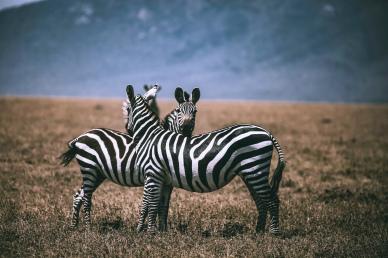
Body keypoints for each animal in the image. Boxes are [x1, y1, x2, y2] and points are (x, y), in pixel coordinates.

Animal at [60, 85, 200, 229]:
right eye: (179, 111)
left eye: (195, 112)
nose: (187, 128)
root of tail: (80, 137)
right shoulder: (151, 177)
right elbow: (149, 204)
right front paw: (145, 227)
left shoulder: (167, 182)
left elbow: (163, 205)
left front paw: (160, 228)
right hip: (89, 168)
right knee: (86, 197)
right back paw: (88, 228)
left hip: (98, 173)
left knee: (79, 195)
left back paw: (74, 226)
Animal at [124, 85, 284, 235]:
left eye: (127, 109)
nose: (127, 130)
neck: (149, 136)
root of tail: (266, 132)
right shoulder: (163, 178)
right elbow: (157, 204)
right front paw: (156, 231)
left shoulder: (153, 173)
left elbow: (148, 203)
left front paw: (147, 232)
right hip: (251, 172)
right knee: (261, 200)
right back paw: (258, 231)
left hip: (255, 168)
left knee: (272, 200)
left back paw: (273, 233)